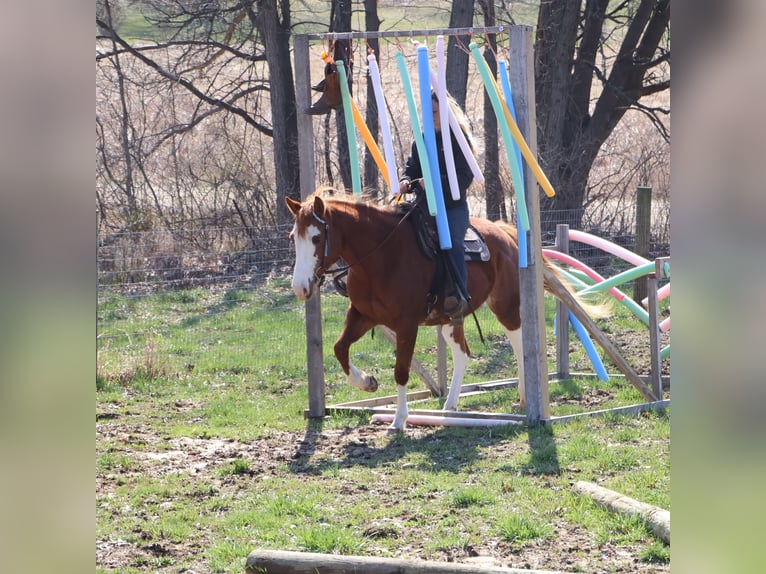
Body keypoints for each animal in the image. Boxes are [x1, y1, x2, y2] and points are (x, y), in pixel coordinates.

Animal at [286, 191, 600, 431]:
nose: (300, 288)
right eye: (292, 237)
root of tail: (505, 232)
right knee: (463, 354)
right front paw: (367, 382)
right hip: (450, 320)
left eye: (316, 238)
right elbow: (339, 348)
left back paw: (525, 399)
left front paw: (398, 420)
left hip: (506, 307)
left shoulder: (406, 324)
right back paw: (450, 406)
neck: (382, 256)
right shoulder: (362, 315)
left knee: (521, 346)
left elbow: (401, 370)